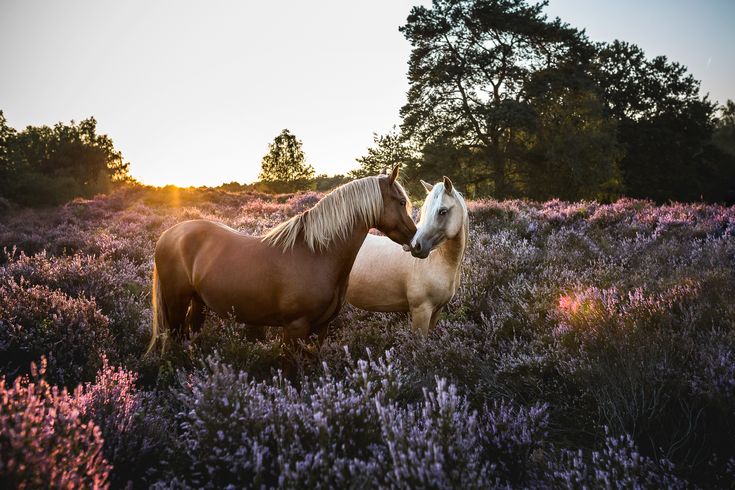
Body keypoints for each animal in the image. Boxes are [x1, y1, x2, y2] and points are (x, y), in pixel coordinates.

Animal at [147, 167, 416, 354]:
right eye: (402, 202)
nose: (416, 241)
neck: (316, 254)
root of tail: (168, 234)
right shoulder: (295, 328)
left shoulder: (321, 328)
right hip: (176, 303)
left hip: (198, 303)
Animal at [346, 176, 468, 334]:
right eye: (424, 210)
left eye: (443, 211)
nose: (415, 246)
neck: (440, 261)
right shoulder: (421, 312)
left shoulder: (437, 311)